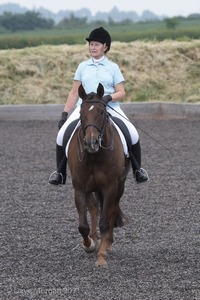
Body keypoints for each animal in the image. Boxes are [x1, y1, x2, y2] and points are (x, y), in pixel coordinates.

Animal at [68, 83, 130, 266]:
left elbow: (104, 222)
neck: (95, 156)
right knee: (94, 208)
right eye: (81, 114)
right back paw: (94, 239)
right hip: (91, 189)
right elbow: (83, 225)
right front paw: (89, 245)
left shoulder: (110, 187)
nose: (92, 143)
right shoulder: (80, 188)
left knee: (112, 210)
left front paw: (101, 256)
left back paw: (107, 243)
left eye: (102, 112)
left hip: (119, 186)